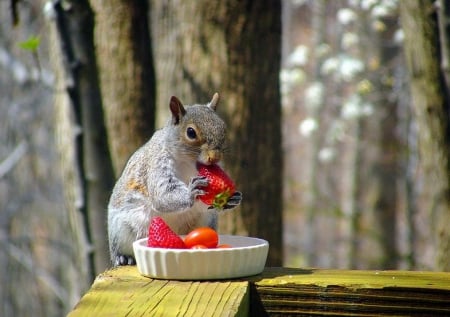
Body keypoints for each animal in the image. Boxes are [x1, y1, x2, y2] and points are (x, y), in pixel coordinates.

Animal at [107, 92, 243, 266]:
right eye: (191, 132)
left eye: (223, 128)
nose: (215, 157)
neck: (188, 162)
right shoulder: (157, 164)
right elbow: (162, 194)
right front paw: (191, 192)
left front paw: (233, 198)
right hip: (121, 230)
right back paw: (123, 257)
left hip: (207, 221)